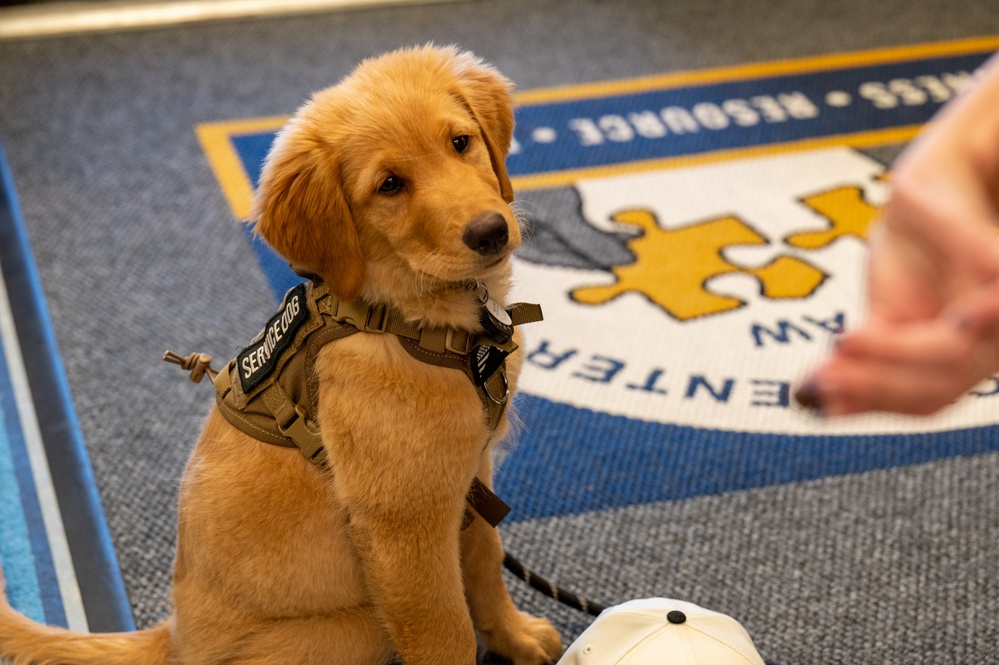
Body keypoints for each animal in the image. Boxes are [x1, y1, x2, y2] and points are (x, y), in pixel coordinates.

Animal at [0, 46, 564, 664]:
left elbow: (486, 563)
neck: (407, 318)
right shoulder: (405, 530)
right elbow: (447, 632)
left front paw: (515, 636)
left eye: (461, 142)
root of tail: (173, 639)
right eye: (390, 185)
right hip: (358, 626)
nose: (490, 232)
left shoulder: (471, 477)